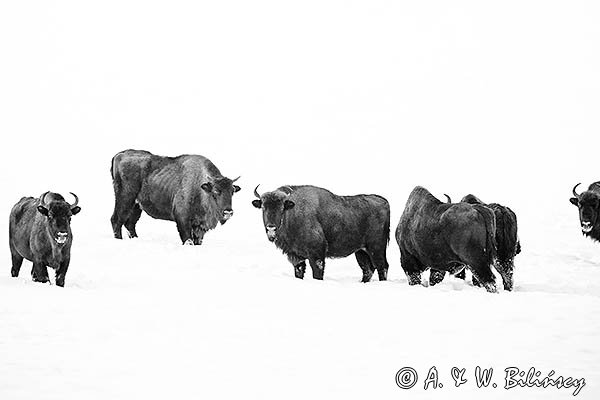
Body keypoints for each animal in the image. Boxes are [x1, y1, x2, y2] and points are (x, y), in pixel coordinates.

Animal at [109, 149, 240, 244]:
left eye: (232, 191)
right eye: (216, 192)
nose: (228, 212)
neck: (201, 188)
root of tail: (120, 155)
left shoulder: (199, 227)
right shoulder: (182, 219)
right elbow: (187, 239)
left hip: (137, 205)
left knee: (130, 224)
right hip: (125, 199)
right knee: (116, 220)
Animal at [252, 184, 390, 282]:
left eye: (282, 208)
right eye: (263, 207)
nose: (271, 228)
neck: (293, 212)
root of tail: (384, 202)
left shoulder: (316, 254)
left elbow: (317, 273)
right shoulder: (296, 256)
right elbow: (299, 271)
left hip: (376, 248)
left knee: (382, 266)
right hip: (361, 251)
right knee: (368, 269)